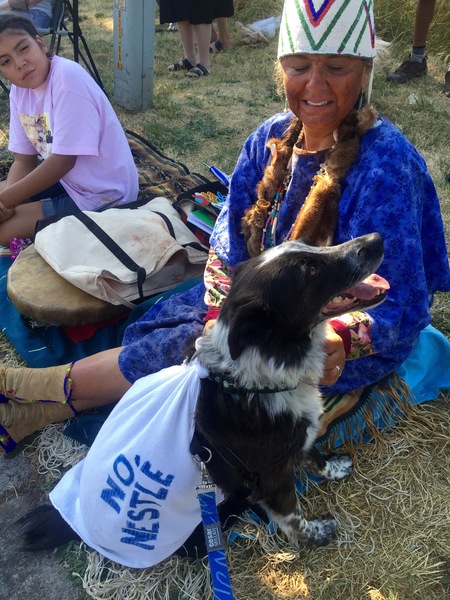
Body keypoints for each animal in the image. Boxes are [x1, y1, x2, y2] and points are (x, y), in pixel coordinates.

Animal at [20, 232, 386, 556]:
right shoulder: (272, 474)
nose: (376, 239)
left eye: (310, 243)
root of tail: (77, 524)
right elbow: (291, 516)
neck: (255, 380)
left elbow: (315, 455)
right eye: (308, 269)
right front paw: (317, 534)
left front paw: (334, 468)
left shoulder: (298, 437)